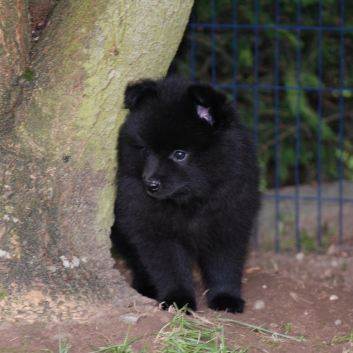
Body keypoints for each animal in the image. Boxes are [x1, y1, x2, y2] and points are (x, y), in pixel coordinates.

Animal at [111, 76, 260, 310]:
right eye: (145, 150)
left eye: (179, 154)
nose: (150, 184)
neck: (191, 201)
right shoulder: (154, 230)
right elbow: (170, 268)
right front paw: (178, 300)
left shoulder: (230, 223)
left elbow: (225, 266)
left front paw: (226, 297)